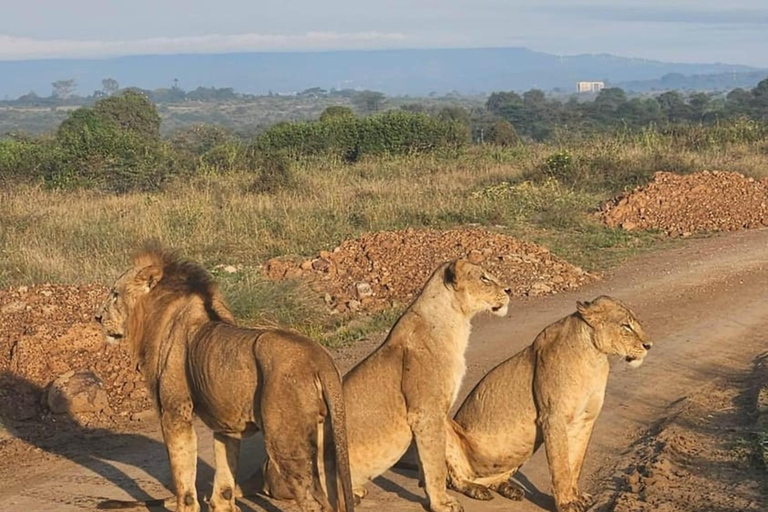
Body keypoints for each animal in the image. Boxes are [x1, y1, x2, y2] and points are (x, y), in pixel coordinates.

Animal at [94, 246, 354, 510]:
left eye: (115, 294)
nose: (97, 317)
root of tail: (320, 359)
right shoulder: (226, 423)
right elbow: (225, 479)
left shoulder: (175, 413)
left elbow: (183, 479)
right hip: (325, 440)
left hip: (286, 444)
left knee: (314, 500)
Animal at [342, 260, 510, 512]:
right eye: (484, 278)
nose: (509, 290)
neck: (457, 323)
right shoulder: (426, 413)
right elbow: (436, 463)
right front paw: (442, 503)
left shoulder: (430, 416)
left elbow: (430, 461)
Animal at [448, 296, 652, 512]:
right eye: (626, 326)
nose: (649, 345)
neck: (594, 359)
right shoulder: (553, 417)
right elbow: (560, 465)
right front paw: (567, 503)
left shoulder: (585, 420)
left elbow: (575, 463)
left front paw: (577, 496)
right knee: (454, 479)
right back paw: (475, 490)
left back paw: (510, 489)